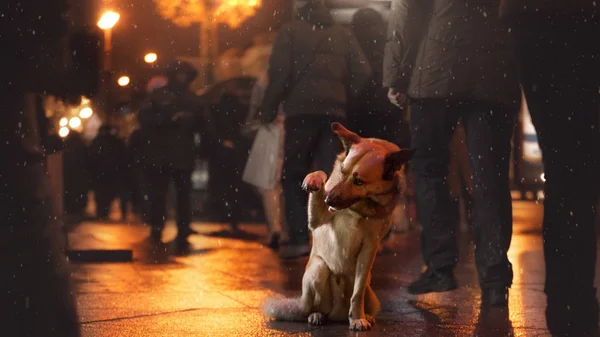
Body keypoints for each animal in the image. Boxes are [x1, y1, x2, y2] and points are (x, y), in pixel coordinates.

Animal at [264, 122, 414, 330]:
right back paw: (316, 315)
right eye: (342, 172)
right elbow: (320, 176)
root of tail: (337, 315)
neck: (359, 209)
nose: (328, 200)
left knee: (359, 295)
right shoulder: (317, 221)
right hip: (317, 270)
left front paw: (358, 318)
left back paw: (365, 315)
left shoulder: (369, 249)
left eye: (359, 181)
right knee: (311, 308)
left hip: (369, 289)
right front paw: (314, 178)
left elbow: (357, 293)